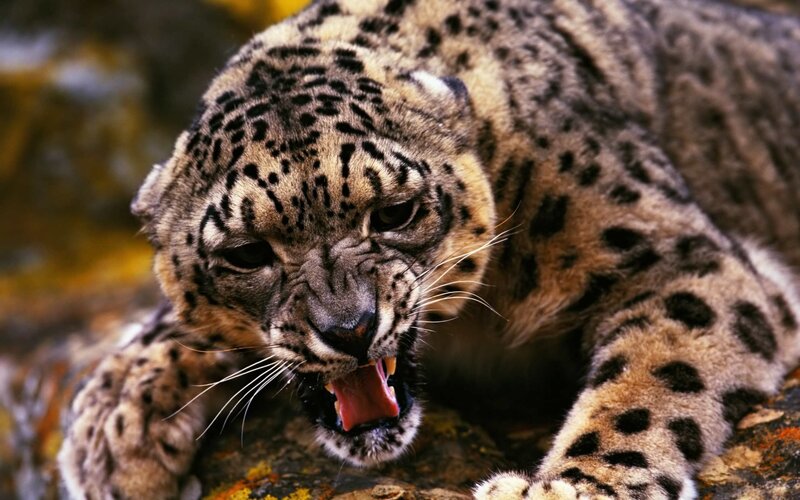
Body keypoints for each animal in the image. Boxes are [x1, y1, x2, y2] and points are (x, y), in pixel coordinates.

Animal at [56, 0, 800, 498]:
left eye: (395, 212)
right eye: (246, 253)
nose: (350, 329)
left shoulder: (673, 258)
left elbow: (649, 384)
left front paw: (567, 487)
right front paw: (113, 427)